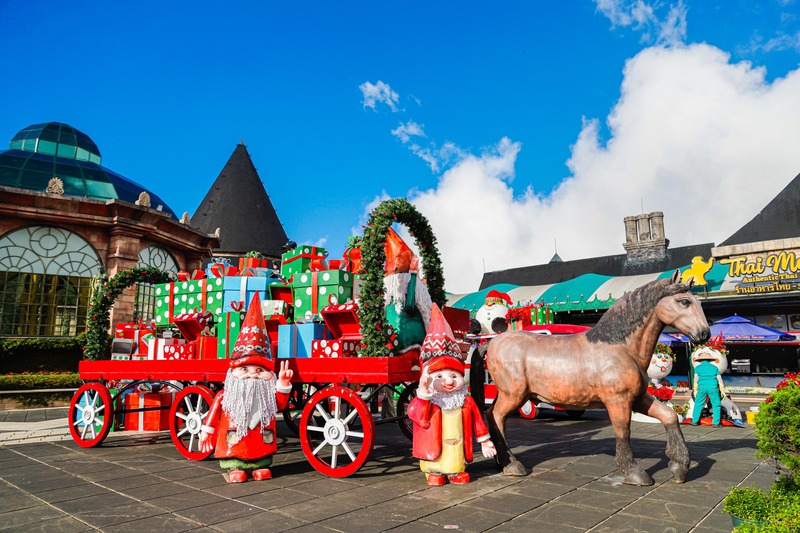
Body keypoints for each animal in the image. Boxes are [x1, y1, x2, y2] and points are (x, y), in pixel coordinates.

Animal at [484, 272, 708, 484]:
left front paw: (679, 467)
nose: (704, 333)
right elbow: (623, 432)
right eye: (684, 301)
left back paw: (501, 462)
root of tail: (493, 343)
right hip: (514, 395)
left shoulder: (638, 398)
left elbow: (669, 416)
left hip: (507, 395)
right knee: (497, 417)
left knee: (491, 414)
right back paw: (512, 465)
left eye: (698, 302)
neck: (620, 347)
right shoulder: (618, 401)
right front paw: (634, 473)